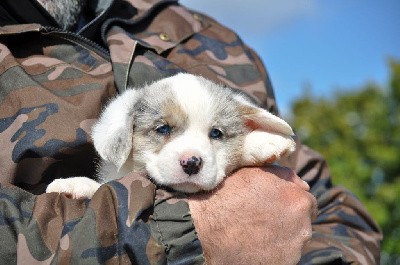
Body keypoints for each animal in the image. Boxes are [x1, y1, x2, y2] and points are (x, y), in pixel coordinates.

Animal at [47, 73, 296, 197]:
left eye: (216, 133)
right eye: (163, 129)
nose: (192, 163)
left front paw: (262, 141)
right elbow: (102, 187)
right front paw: (74, 185)